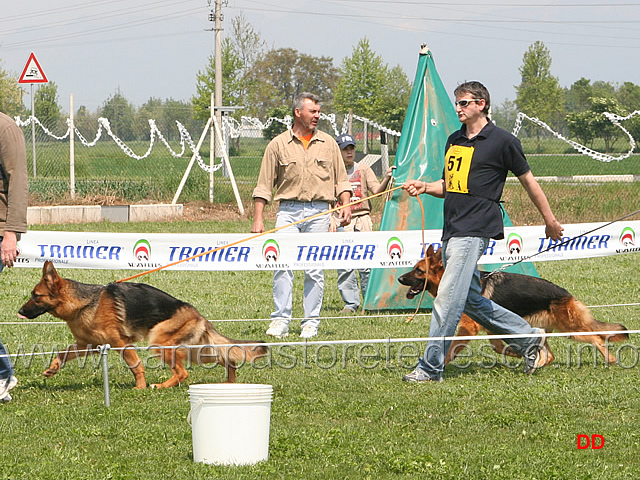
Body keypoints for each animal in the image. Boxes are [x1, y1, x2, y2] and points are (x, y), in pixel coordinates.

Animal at [18, 260, 268, 388]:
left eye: (36, 296)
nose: (19, 312)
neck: (85, 303)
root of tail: (198, 316)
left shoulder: (120, 343)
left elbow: (135, 365)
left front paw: (139, 387)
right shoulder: (86, 345)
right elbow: (63, 353)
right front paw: (53, 368)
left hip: (159, 342)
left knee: (183, 373)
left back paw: (162, 386)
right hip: (195, 351)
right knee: (225, 358)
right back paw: (230, 383)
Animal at [398, 246, 628, 366]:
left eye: (418, 270)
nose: (400, 279)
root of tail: (567, 294)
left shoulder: (468, 328)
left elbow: (452, 349)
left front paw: (437, 366)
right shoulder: (492, 330)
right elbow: (498, 347)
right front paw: (516, 353)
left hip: (570, 329)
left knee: (597, 338)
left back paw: (610, 359)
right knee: (550, 355)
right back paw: (536, 363)